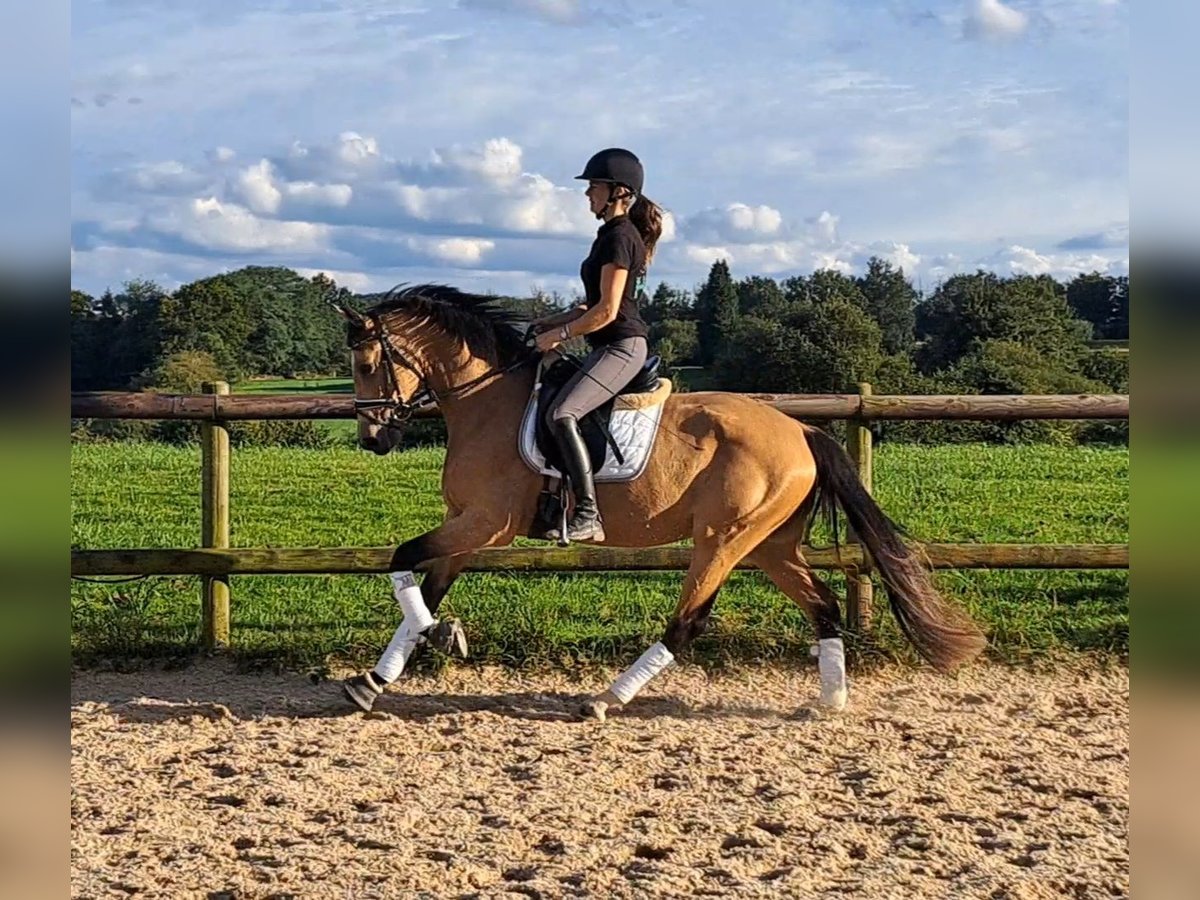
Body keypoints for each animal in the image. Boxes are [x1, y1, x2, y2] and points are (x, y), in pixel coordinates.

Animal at [336, 285, 984, 724]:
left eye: (366, 364)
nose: (374, 440)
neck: (487, 401)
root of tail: (801, 431)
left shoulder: (488, 524)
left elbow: (402, 560)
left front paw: (440, 635)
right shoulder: (465, 524)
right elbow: (427, 582)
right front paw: (375, 679)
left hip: (723, 540)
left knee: (688, 621)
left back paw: (605, 699)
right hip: (771, 545)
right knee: (822, 607)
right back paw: (831, 701)